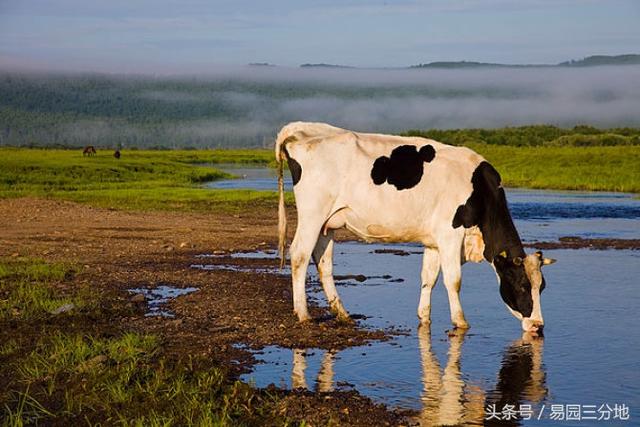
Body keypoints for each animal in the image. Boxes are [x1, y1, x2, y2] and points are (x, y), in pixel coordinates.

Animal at [276, 122, 556, 332]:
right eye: (522, 285)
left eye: (542, 287)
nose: (538, 326)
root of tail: (303, 131)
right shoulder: (450, 234)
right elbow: (453, 280)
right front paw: (460, 322)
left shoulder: (434, 241)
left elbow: (428, 278)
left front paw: (424, 316)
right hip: (313, 213)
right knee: (300, 254)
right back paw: (303, 313)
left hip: (328, 222)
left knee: (323, 261)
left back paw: (342, 312)